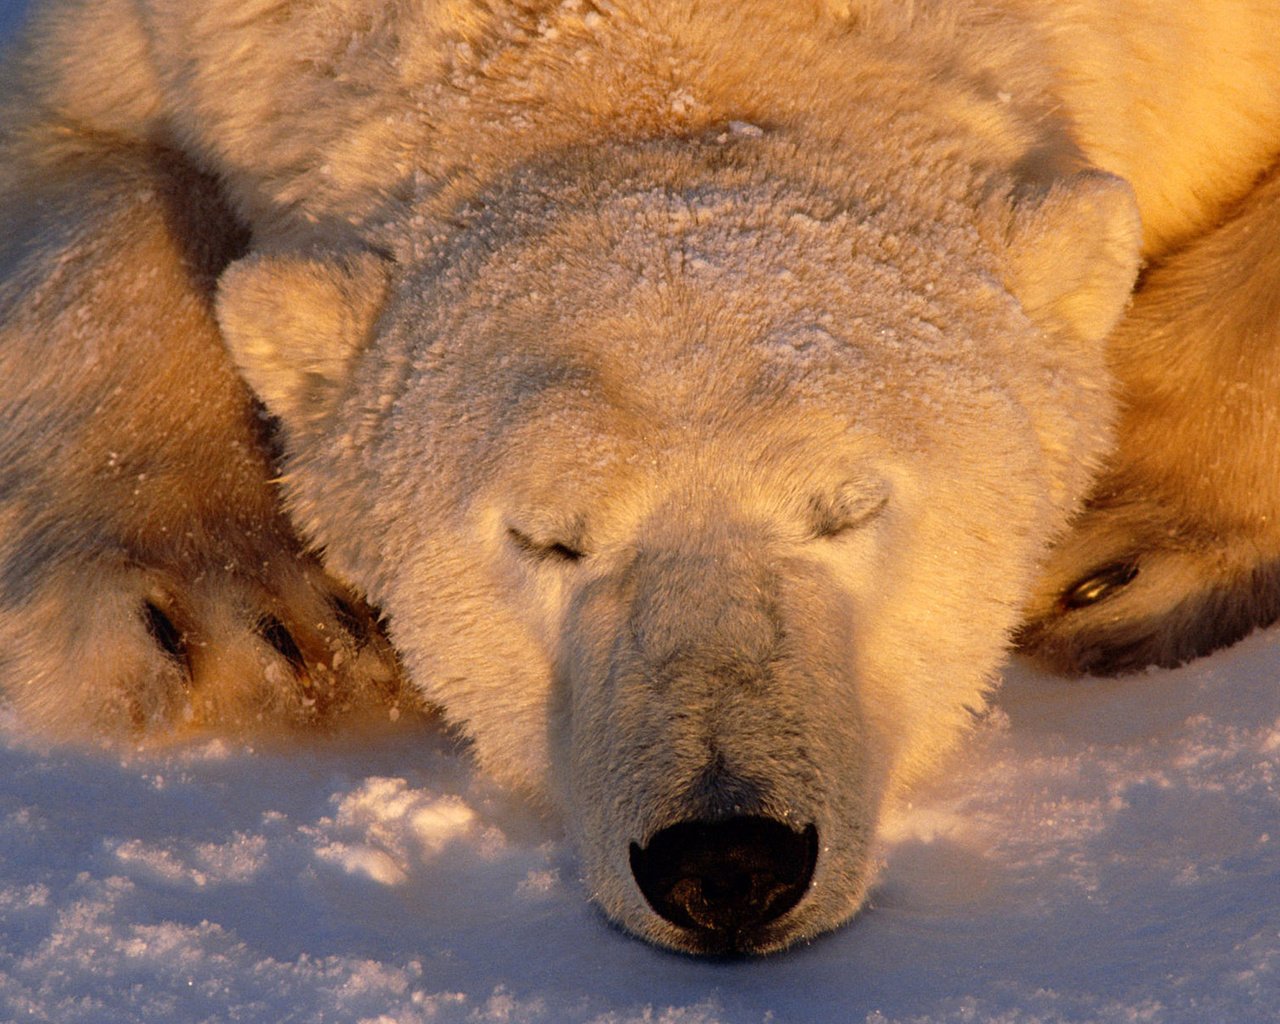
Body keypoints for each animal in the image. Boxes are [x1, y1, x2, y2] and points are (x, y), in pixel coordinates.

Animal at [2, 0, 1280, 957]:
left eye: (850, 507)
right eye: (546, 537)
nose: (727, 860)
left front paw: (1123, 551)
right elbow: (85, 162)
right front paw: (231, 621)